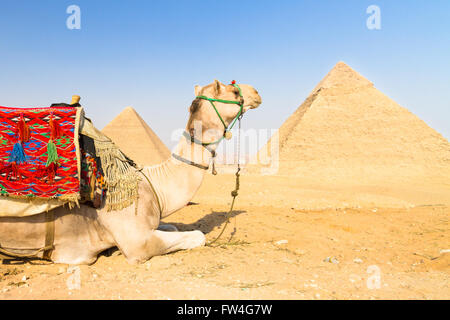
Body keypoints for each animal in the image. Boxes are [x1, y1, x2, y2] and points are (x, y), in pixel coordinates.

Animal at [0, 80, 260, 264]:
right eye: (234, 91)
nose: (256, 93)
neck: (153, 184)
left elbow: (175, 227)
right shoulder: (137, 243)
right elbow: (198, 236)